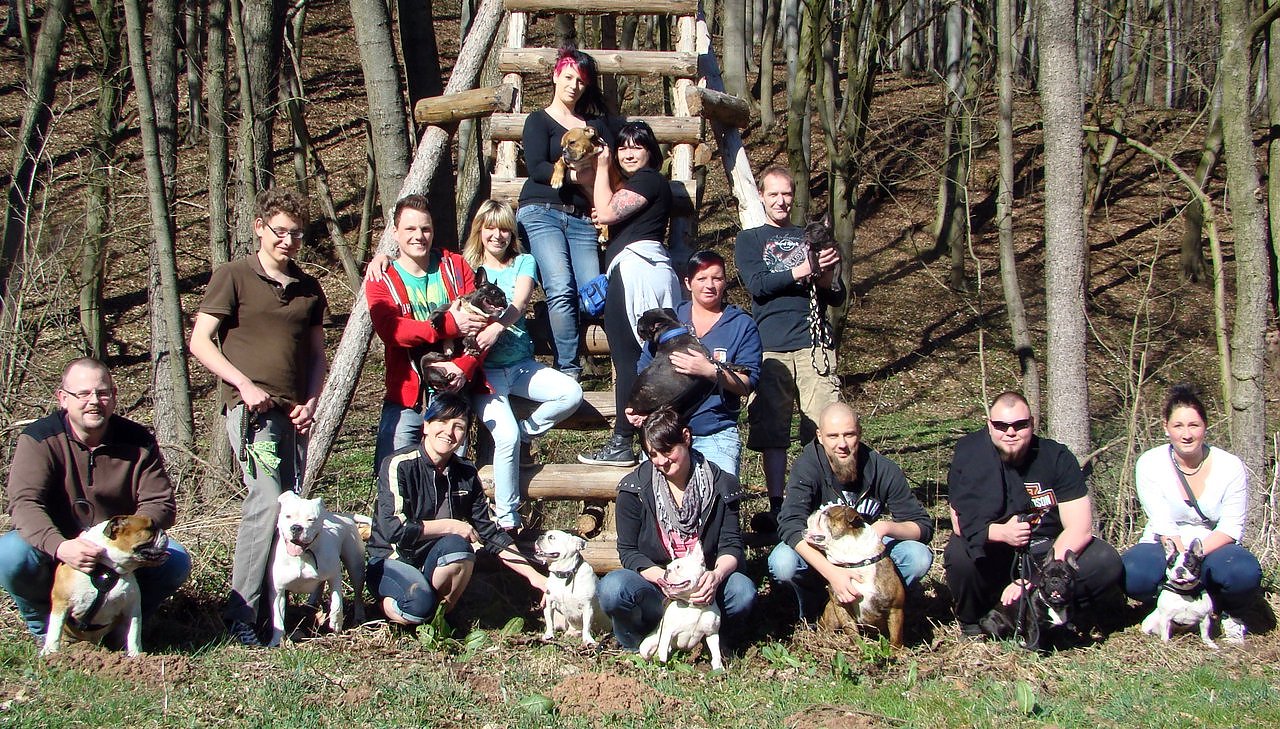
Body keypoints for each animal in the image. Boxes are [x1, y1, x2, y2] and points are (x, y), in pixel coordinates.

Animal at [43, 515, 170, 657]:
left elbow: (134, 634)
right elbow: (55, 629)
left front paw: (136, 656)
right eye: (150, 528)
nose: (164, 532)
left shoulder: (132, 609)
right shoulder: (61, 603)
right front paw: (50, 652)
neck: (108, 568)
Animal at [266, 492, 369, 647]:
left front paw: (336, 623)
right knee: (319, 586)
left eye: (311, 519)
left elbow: (337, 602)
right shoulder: (278, 590)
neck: (302, 556)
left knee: (357, 594)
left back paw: (359, 617)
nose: (296, 527)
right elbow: (277, 616)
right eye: (288, 516)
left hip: (355, 567)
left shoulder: (335, 576)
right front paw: (276, 641)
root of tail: (342, 516)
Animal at [804, 504, 905, 647]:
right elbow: (851, 629)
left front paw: (896, 651)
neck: (856, 563)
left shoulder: (896, 609)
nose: (814, 511)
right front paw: (859, 646)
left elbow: (896, 637)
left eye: (826, 513)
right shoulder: (840, 606)